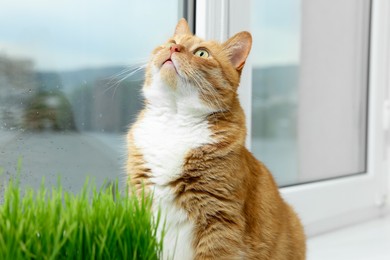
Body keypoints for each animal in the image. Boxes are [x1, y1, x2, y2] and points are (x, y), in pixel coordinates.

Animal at [126, 18, 306, 260]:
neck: (175, 119)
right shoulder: (140, 207)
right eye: (172, 42)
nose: (174, 48)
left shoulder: (220, 220)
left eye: (202, 53)